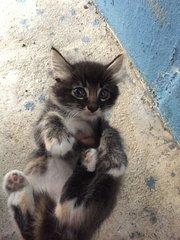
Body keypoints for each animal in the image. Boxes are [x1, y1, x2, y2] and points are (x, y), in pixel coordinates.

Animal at [2, 47, 126, 240]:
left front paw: (115, 157)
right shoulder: (40, 131)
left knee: (65, 208)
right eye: (79, 92)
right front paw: (59, 138)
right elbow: (51, 116)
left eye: (103, 93)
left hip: (106, 188)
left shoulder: (100, 125)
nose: (93, 107)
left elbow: (111, 131)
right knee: (55, 216)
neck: (79, 119)